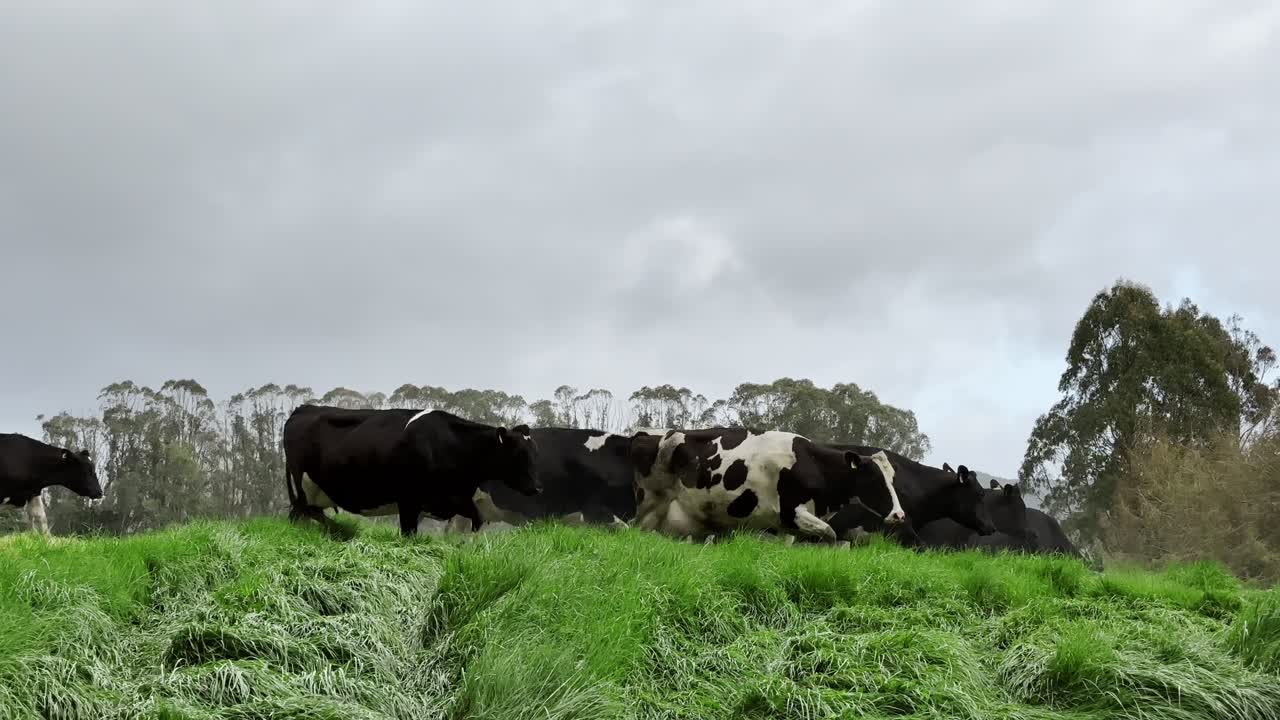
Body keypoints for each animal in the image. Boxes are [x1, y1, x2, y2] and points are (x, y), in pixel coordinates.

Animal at [282, 404, 541, 537]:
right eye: (518, 454)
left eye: (535, 451)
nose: (538, 488)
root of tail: (304, 408)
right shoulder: (408, 500)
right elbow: (408, 534)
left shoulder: (455, 499)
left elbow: (475, 521)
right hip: (302, 487)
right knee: (303, 514)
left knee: (307, 515)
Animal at [628, 427, 905, 543]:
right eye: (874, 478)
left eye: (892, 479)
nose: (899, 515)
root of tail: (647, 435)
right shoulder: (792, 512)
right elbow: (830, 533)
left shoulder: (786, 525)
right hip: (650, 504)